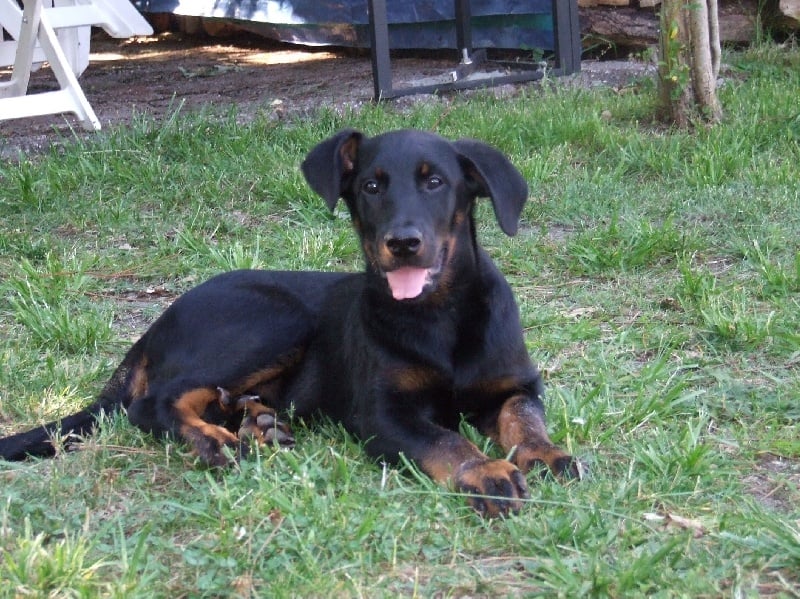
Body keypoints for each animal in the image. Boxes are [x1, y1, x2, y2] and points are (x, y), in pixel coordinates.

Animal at [0, 130, 580, 516]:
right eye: (370, 187)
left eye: (435, 182)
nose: (402, 243)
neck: (440, 316)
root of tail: (154, 326)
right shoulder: (383, 414)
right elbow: (445, 441)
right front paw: (485, 471)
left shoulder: (515, 385)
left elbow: (523, 418)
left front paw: (547, 454)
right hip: (277, 318)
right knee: (151, 403)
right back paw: (215, 441)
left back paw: (258, 424)